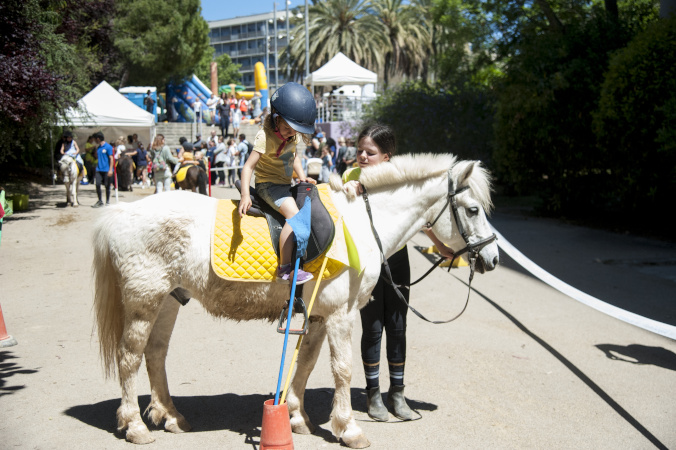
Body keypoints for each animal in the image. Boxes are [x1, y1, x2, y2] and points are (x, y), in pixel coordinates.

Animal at [92, 153, 500, 448]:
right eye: (473, 210)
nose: (493, 258)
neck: (359, 224)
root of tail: (120, 213)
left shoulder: (318, 316)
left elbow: (305, 364)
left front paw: (297, 417)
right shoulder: (340, 315)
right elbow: (342, 369)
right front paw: (348, 428)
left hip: (169, 301)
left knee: (155, 353)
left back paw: (170, 416)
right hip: (144, 302)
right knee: (130, 358)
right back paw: (134, 425)